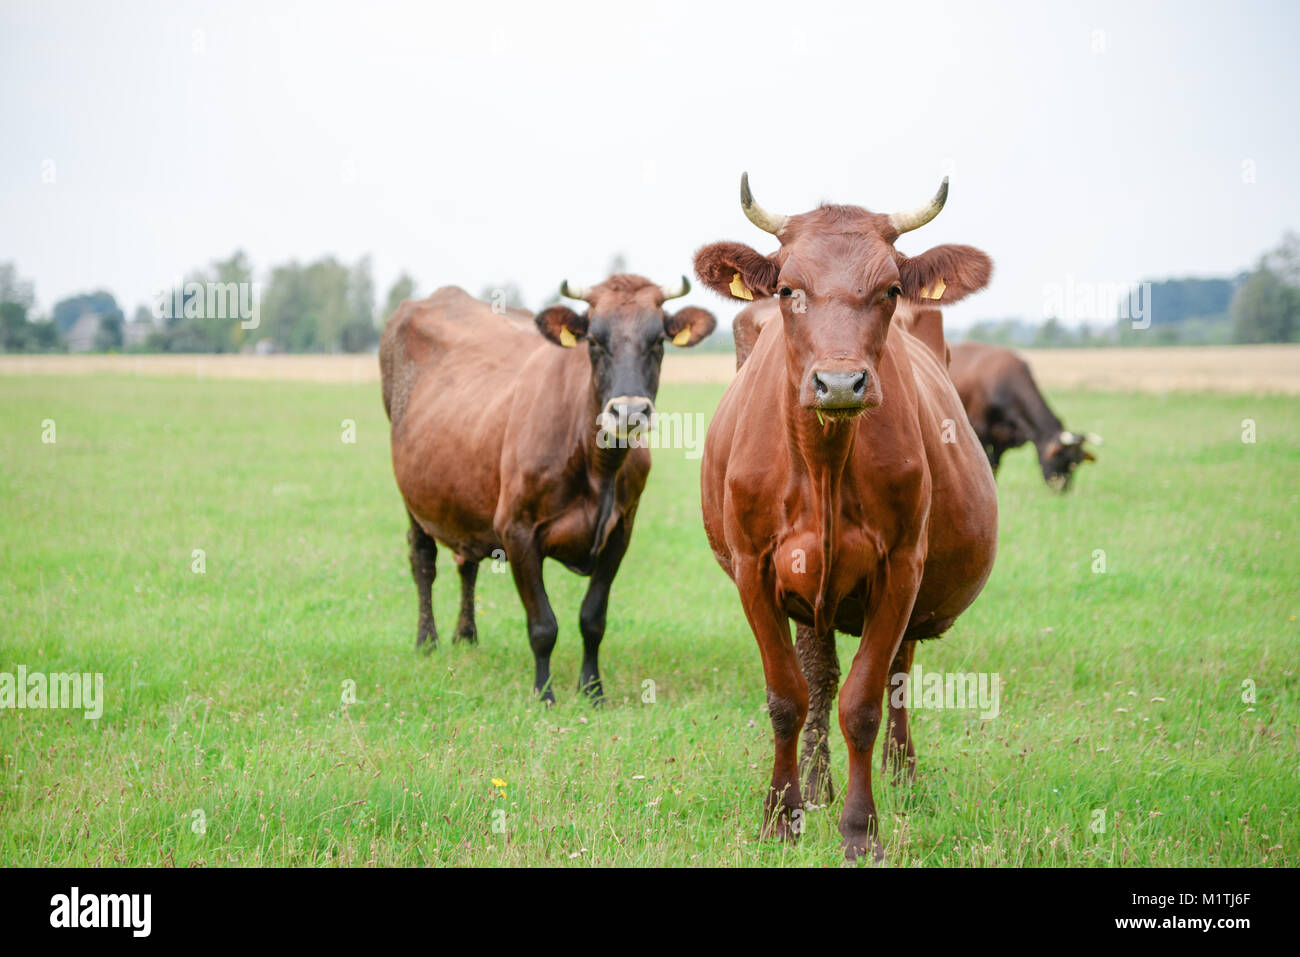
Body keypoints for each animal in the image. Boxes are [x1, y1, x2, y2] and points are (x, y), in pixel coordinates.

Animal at [380, 275, 716, 702]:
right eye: (594, 341)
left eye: (657, 341)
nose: (628, 412)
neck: (597, 465)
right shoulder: (516, 529)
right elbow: (543, 625)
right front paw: (544, 694)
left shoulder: (620, 532)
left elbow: (593, 618)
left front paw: (593, 690)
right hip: (414, 497)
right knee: (423, 560)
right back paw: (428, 640)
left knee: (466, 562)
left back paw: (466, 636)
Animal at [693, 174, 999, 862]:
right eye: (788, 289)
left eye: (889, 289)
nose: (838, 384)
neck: (825, 465)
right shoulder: (755, 569)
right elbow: (788, 695)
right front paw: (782, 816)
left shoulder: (901, 568)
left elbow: (863, 703)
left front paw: (861, 831)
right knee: (819, 678)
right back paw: (816, 785)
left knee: (896, 676)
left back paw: (901, 775)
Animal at [948, 341, 1101, 491]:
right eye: (1061, 456)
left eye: (1078, 461)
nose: (1063, 488)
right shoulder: (982, 433)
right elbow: (987, 466)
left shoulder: (1001, 439)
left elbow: (996, 466)